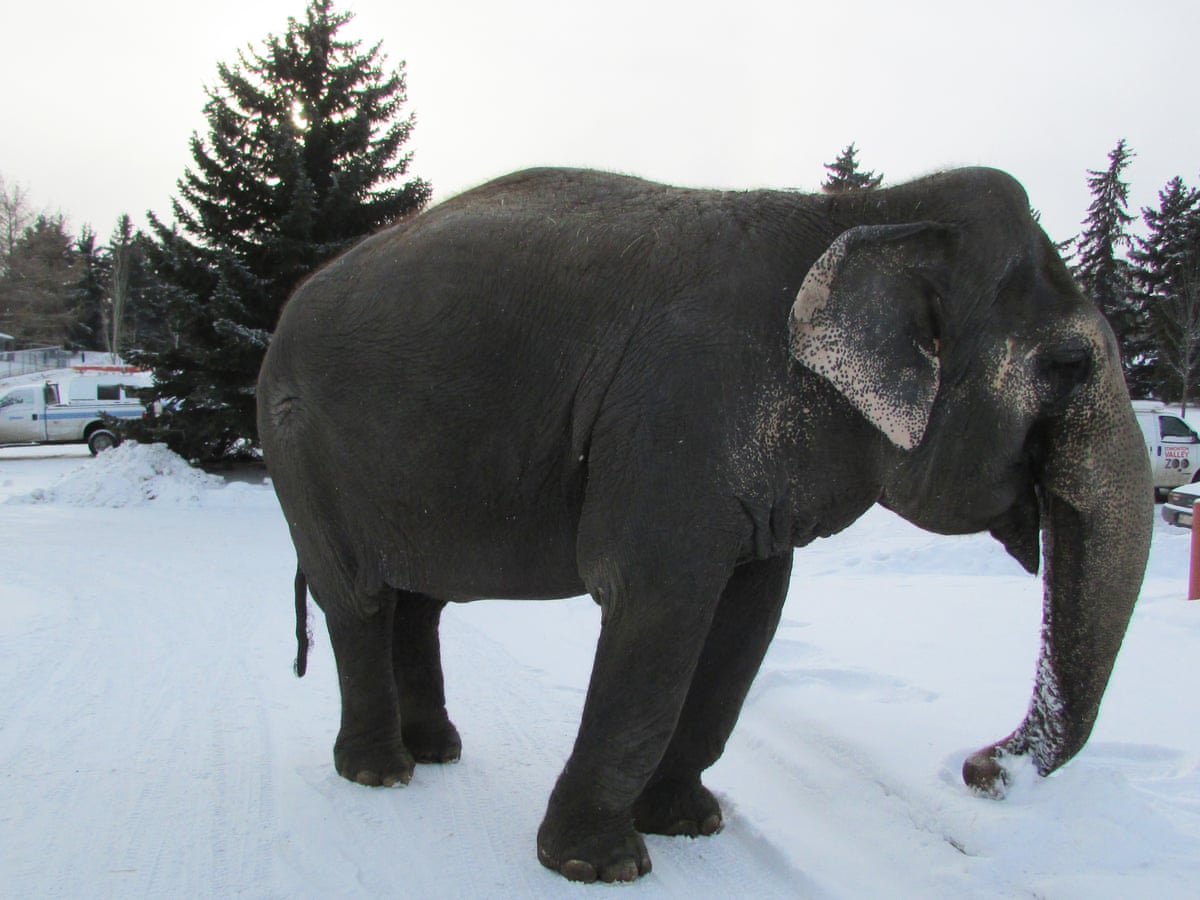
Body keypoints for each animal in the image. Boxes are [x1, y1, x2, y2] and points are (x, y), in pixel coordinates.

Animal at [257, 165, 1152, 883]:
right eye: (1069, 365)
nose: (980, 768)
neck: (868, 212)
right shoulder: (676, 416)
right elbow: (660, 603)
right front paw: (600, 867)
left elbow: (749, 615)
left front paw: (690, 824)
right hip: (299, 445)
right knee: (359, 599)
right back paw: (381, 774)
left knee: (420, 601)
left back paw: (437, 751)